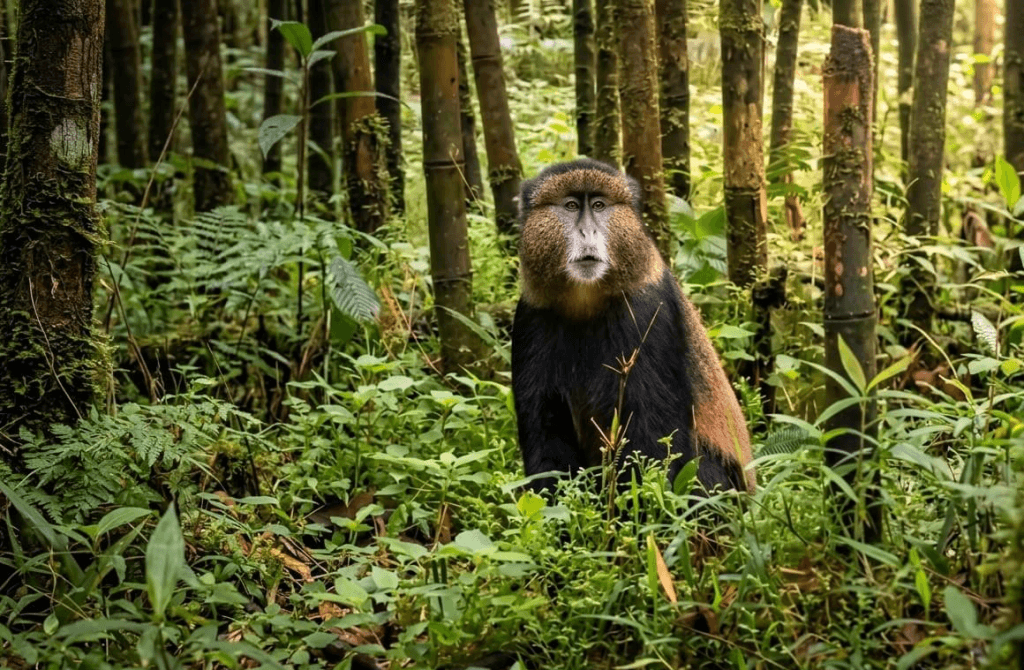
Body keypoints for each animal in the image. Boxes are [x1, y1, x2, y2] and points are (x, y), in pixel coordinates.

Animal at [511, 158, 755, 496]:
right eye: (571, 205)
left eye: (599, 205)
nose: (588, 231)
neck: (586, 301)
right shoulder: (530, 317)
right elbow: (545, 432)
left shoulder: (650, 313)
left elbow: (653, 436)